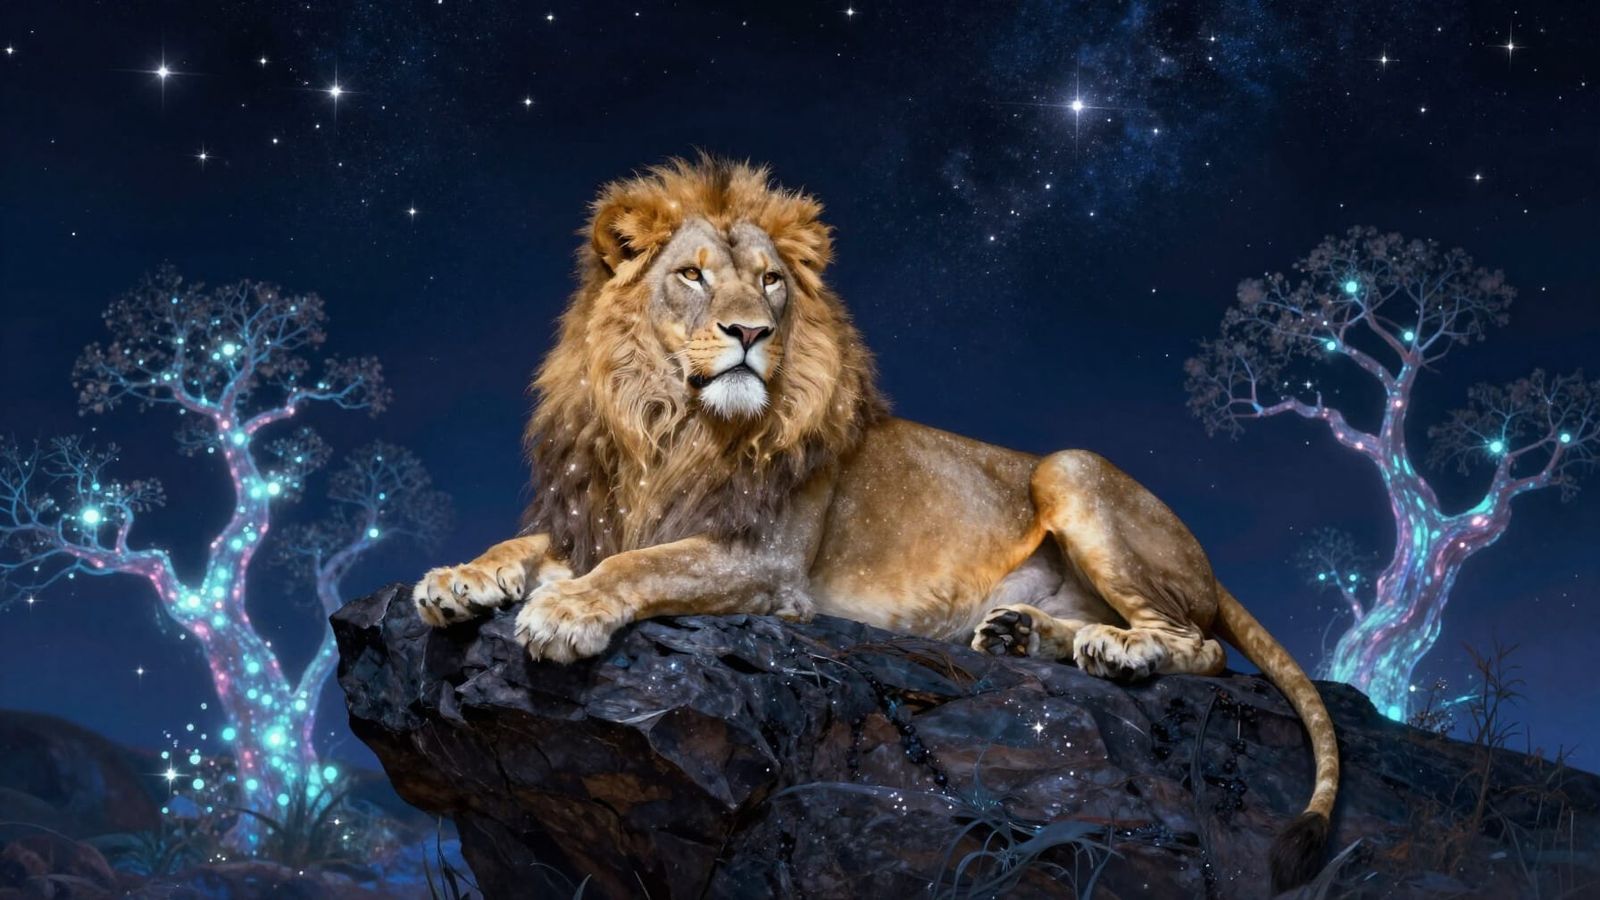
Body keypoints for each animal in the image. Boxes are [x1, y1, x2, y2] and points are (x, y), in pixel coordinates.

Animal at [411, 156, 1338, 889]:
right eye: (693, 276)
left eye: (772, 280)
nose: (750, 331)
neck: (672, 425)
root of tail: (1211, 566)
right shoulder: (603, 513)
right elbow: (531, 543)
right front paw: (456, 580)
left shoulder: (766, 562)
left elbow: (640, 566)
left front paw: (566, 612)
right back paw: (1025, 634)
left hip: (1069, 468)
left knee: (1202, 646)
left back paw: (1123, 651)